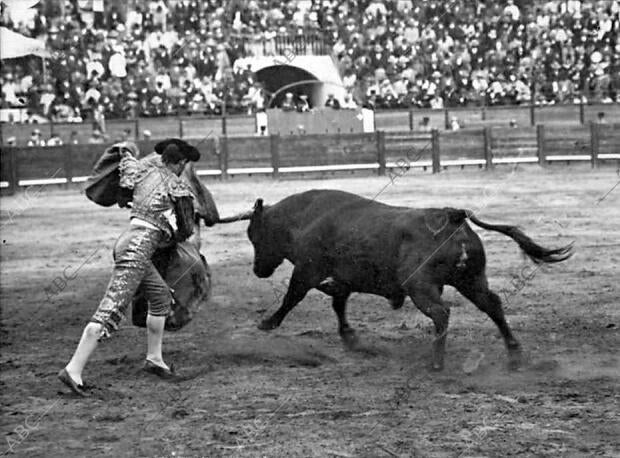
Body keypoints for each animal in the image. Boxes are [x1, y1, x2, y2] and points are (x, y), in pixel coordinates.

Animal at [219, 190, 572, 372]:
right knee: (493, 305)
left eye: (254, 234)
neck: (304, 217)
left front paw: (268, 322)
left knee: (441, 313)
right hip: (472, 280)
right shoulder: (343, 278)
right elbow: (338, 303)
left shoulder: (308, 271)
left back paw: (436, 362)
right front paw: (350, 338)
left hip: (421, 287)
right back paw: (514, 354)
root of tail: (453, 215)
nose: (257, 270)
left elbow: (293, 296)